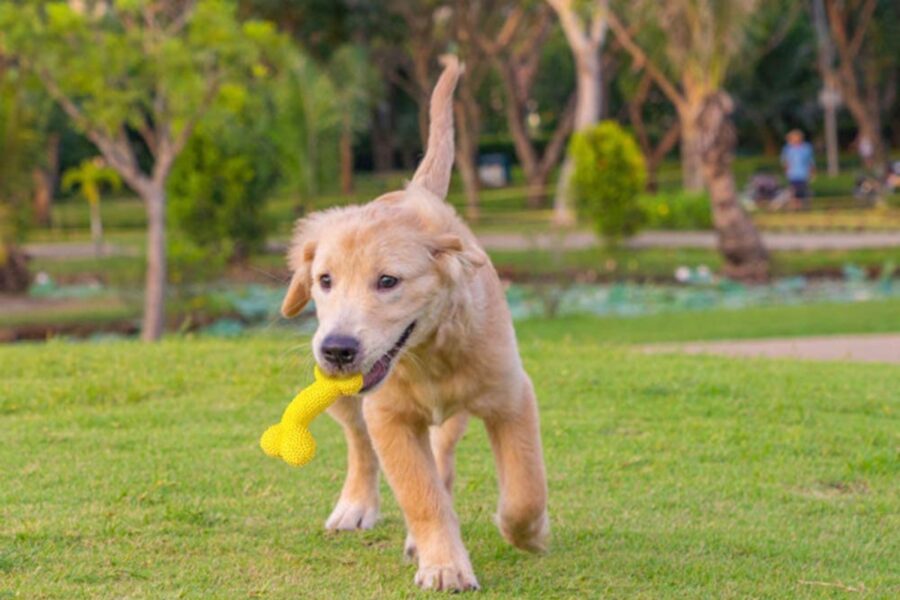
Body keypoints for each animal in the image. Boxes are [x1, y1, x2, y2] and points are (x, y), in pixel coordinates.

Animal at [282, 55, 548, 592]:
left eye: (388, 281)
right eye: (324, 280)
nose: (337, 349)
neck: (428, 353)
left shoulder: (511, 396)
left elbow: (524, 488)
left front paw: (528, 534)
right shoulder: (389, 417)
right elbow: (419, 494)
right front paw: (444, 563)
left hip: (453, 413)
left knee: (442, 456)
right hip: (342, 397)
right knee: (361, 446)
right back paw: (355, 506)